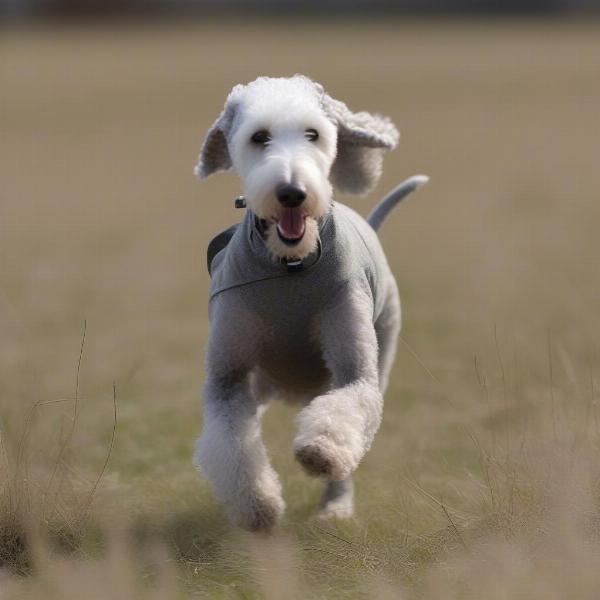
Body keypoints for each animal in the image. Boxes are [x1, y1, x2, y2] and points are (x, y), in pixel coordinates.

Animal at [193, 75, 426, 528]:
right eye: (259, 137)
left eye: (313, 134)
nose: (291, 193)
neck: (290, 265)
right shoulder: (228, 377)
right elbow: (232, 441)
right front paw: (259, 506)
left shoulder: (355, 370)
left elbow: (349, 404)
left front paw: (319, 452)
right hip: (261, 381)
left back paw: (335, 508)